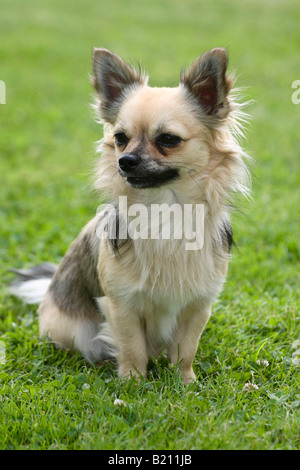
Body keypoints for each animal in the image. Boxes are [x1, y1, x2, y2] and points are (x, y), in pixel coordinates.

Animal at [10, 48, 251, 386]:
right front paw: (133, 383)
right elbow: (132, 347)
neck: (165, 208)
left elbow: (186, 350)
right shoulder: (121, 305)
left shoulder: (198, 305)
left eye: (168, 139)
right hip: (68, 329)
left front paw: (186, 383)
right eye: (120, 137)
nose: (124, 161)